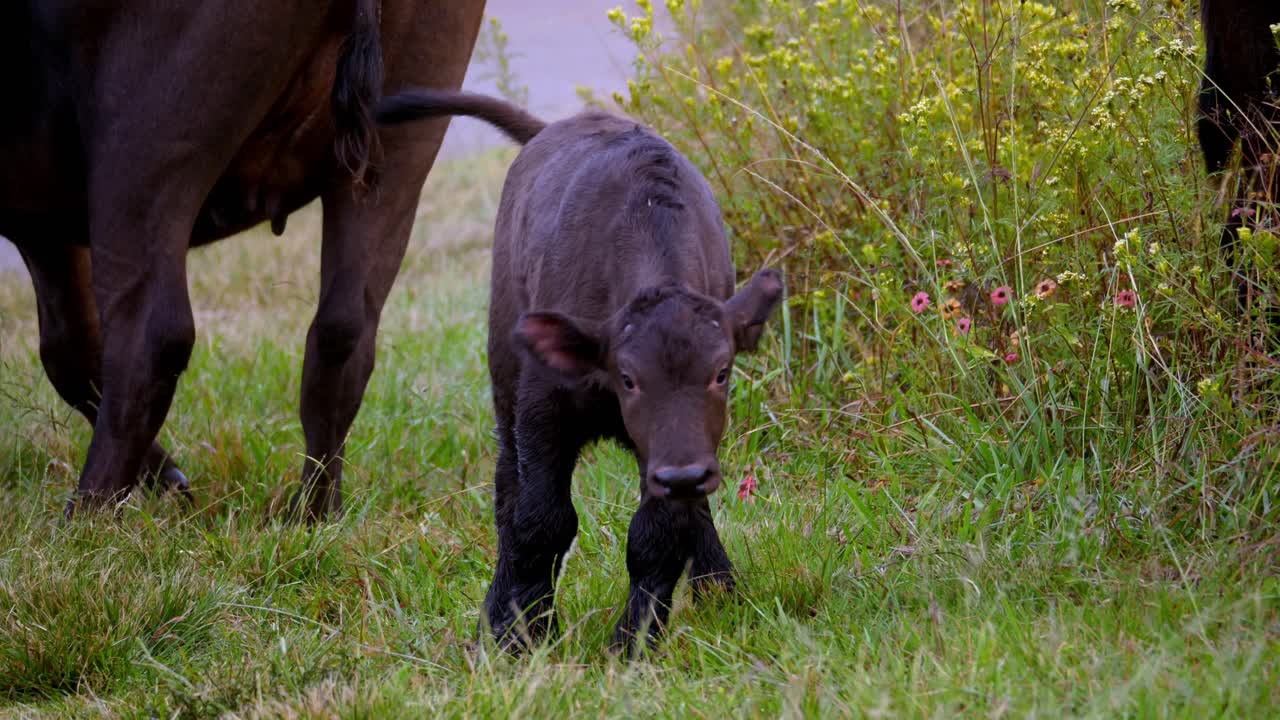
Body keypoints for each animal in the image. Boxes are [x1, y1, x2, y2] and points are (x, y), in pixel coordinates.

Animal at [0, 1, 487, 518]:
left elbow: (73, 351)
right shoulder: (39, 212)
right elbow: (68, 349)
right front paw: (168, 478)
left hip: (147, 137)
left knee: (149, 337)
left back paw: (87, 519)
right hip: (404, 125)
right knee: (344, 332)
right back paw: (313, 513)